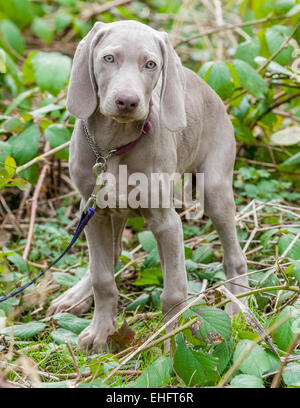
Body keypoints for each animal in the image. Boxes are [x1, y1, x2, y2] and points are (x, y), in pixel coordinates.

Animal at [46, 19, 248, 350]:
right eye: (109, 58)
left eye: (151, 64)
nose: (127, 102)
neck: (113, 147)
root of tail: (208, 86)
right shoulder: (94, 213)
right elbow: (103, 277)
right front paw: (100, 331)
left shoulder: (167, 223)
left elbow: (174, 291)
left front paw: (168, 343)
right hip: (108, 212)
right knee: (112, 255)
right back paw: (76, 296)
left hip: (215, 188)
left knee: (234, 256)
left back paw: (238, 305)